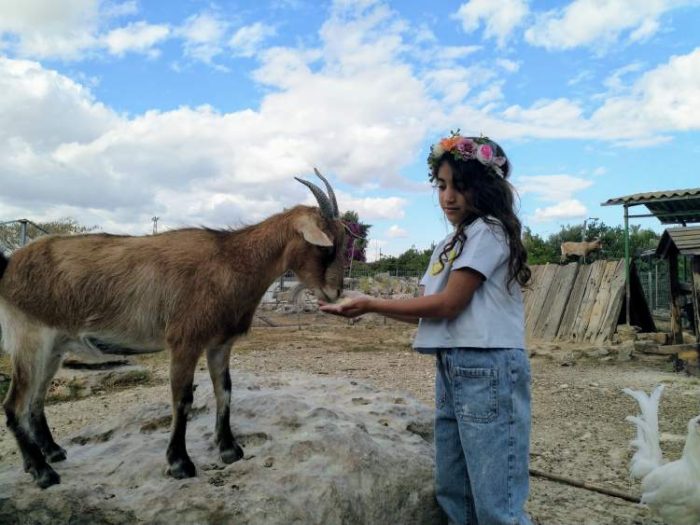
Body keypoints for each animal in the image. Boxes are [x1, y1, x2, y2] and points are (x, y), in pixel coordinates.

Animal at [0, 171, 348, 488]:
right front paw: (180, 463)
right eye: (326, 247)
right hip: (30, 339)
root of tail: (10, 265)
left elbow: (225, 391)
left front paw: (229, 449)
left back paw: (52, 453)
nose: (335, 293)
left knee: (36, 400)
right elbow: (182, 399)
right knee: (14, 405)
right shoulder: (185, 342)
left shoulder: (219, 344)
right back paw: (43, 471)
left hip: (55, 348)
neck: (228, 261)